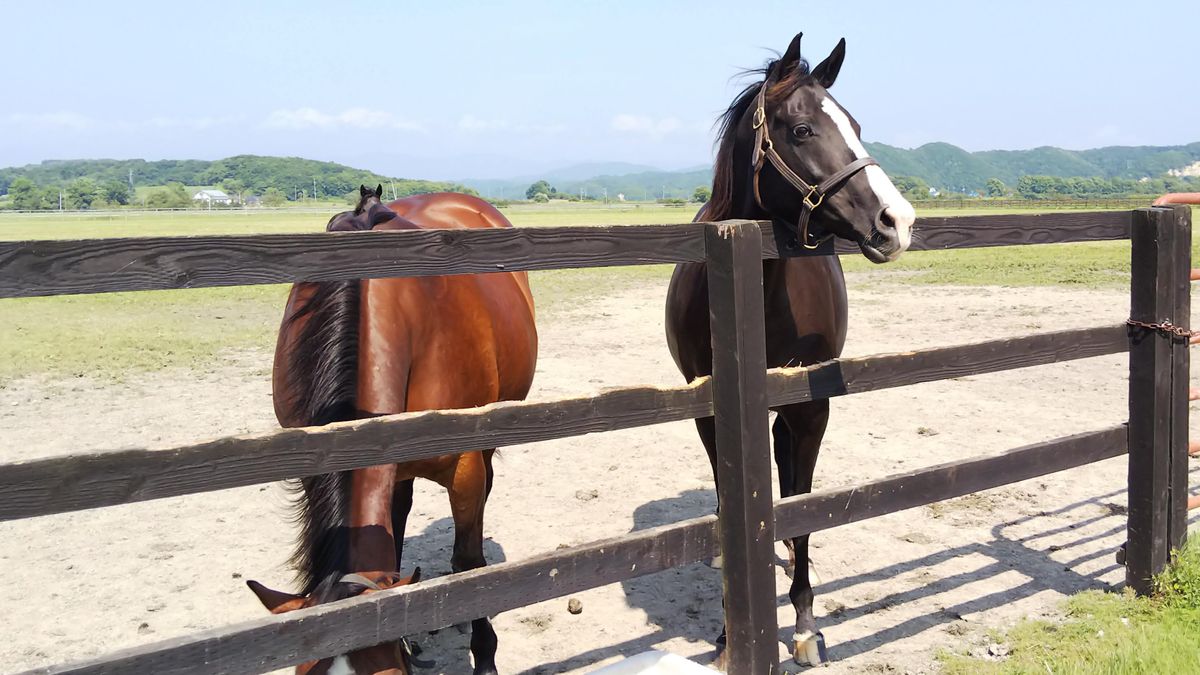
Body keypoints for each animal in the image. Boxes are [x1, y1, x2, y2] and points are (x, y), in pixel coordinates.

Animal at [662, 34, 912, 662]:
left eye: (854, 124)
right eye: (802, 130)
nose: (897, 221)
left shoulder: (810, 409)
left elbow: (801, 507)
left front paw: (802, 625)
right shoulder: (711, 415)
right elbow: (730, 501)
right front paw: (730, 631)